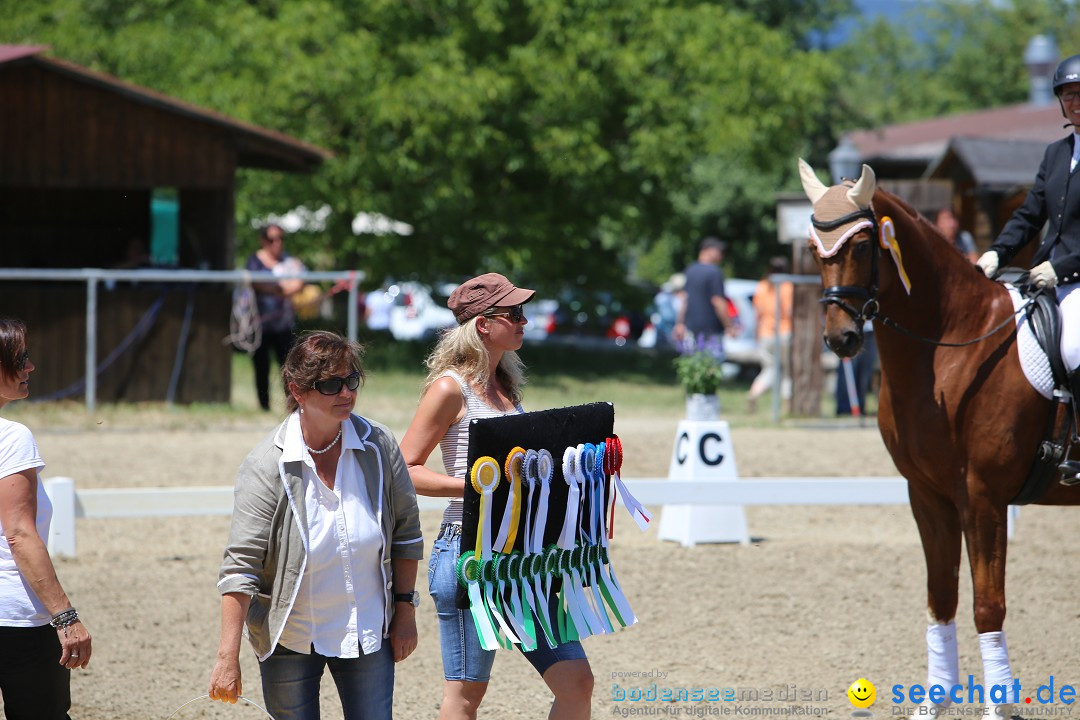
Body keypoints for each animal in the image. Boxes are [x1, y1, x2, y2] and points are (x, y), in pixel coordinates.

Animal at [799, 160, 1075, 716]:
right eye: (815, 250)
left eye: (863, 245)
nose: (841, 339)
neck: (954, 343)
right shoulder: (928, 495)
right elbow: (941, 599)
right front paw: (935, 700)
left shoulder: (983, 498)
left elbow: (987, 605)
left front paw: (997, 704)